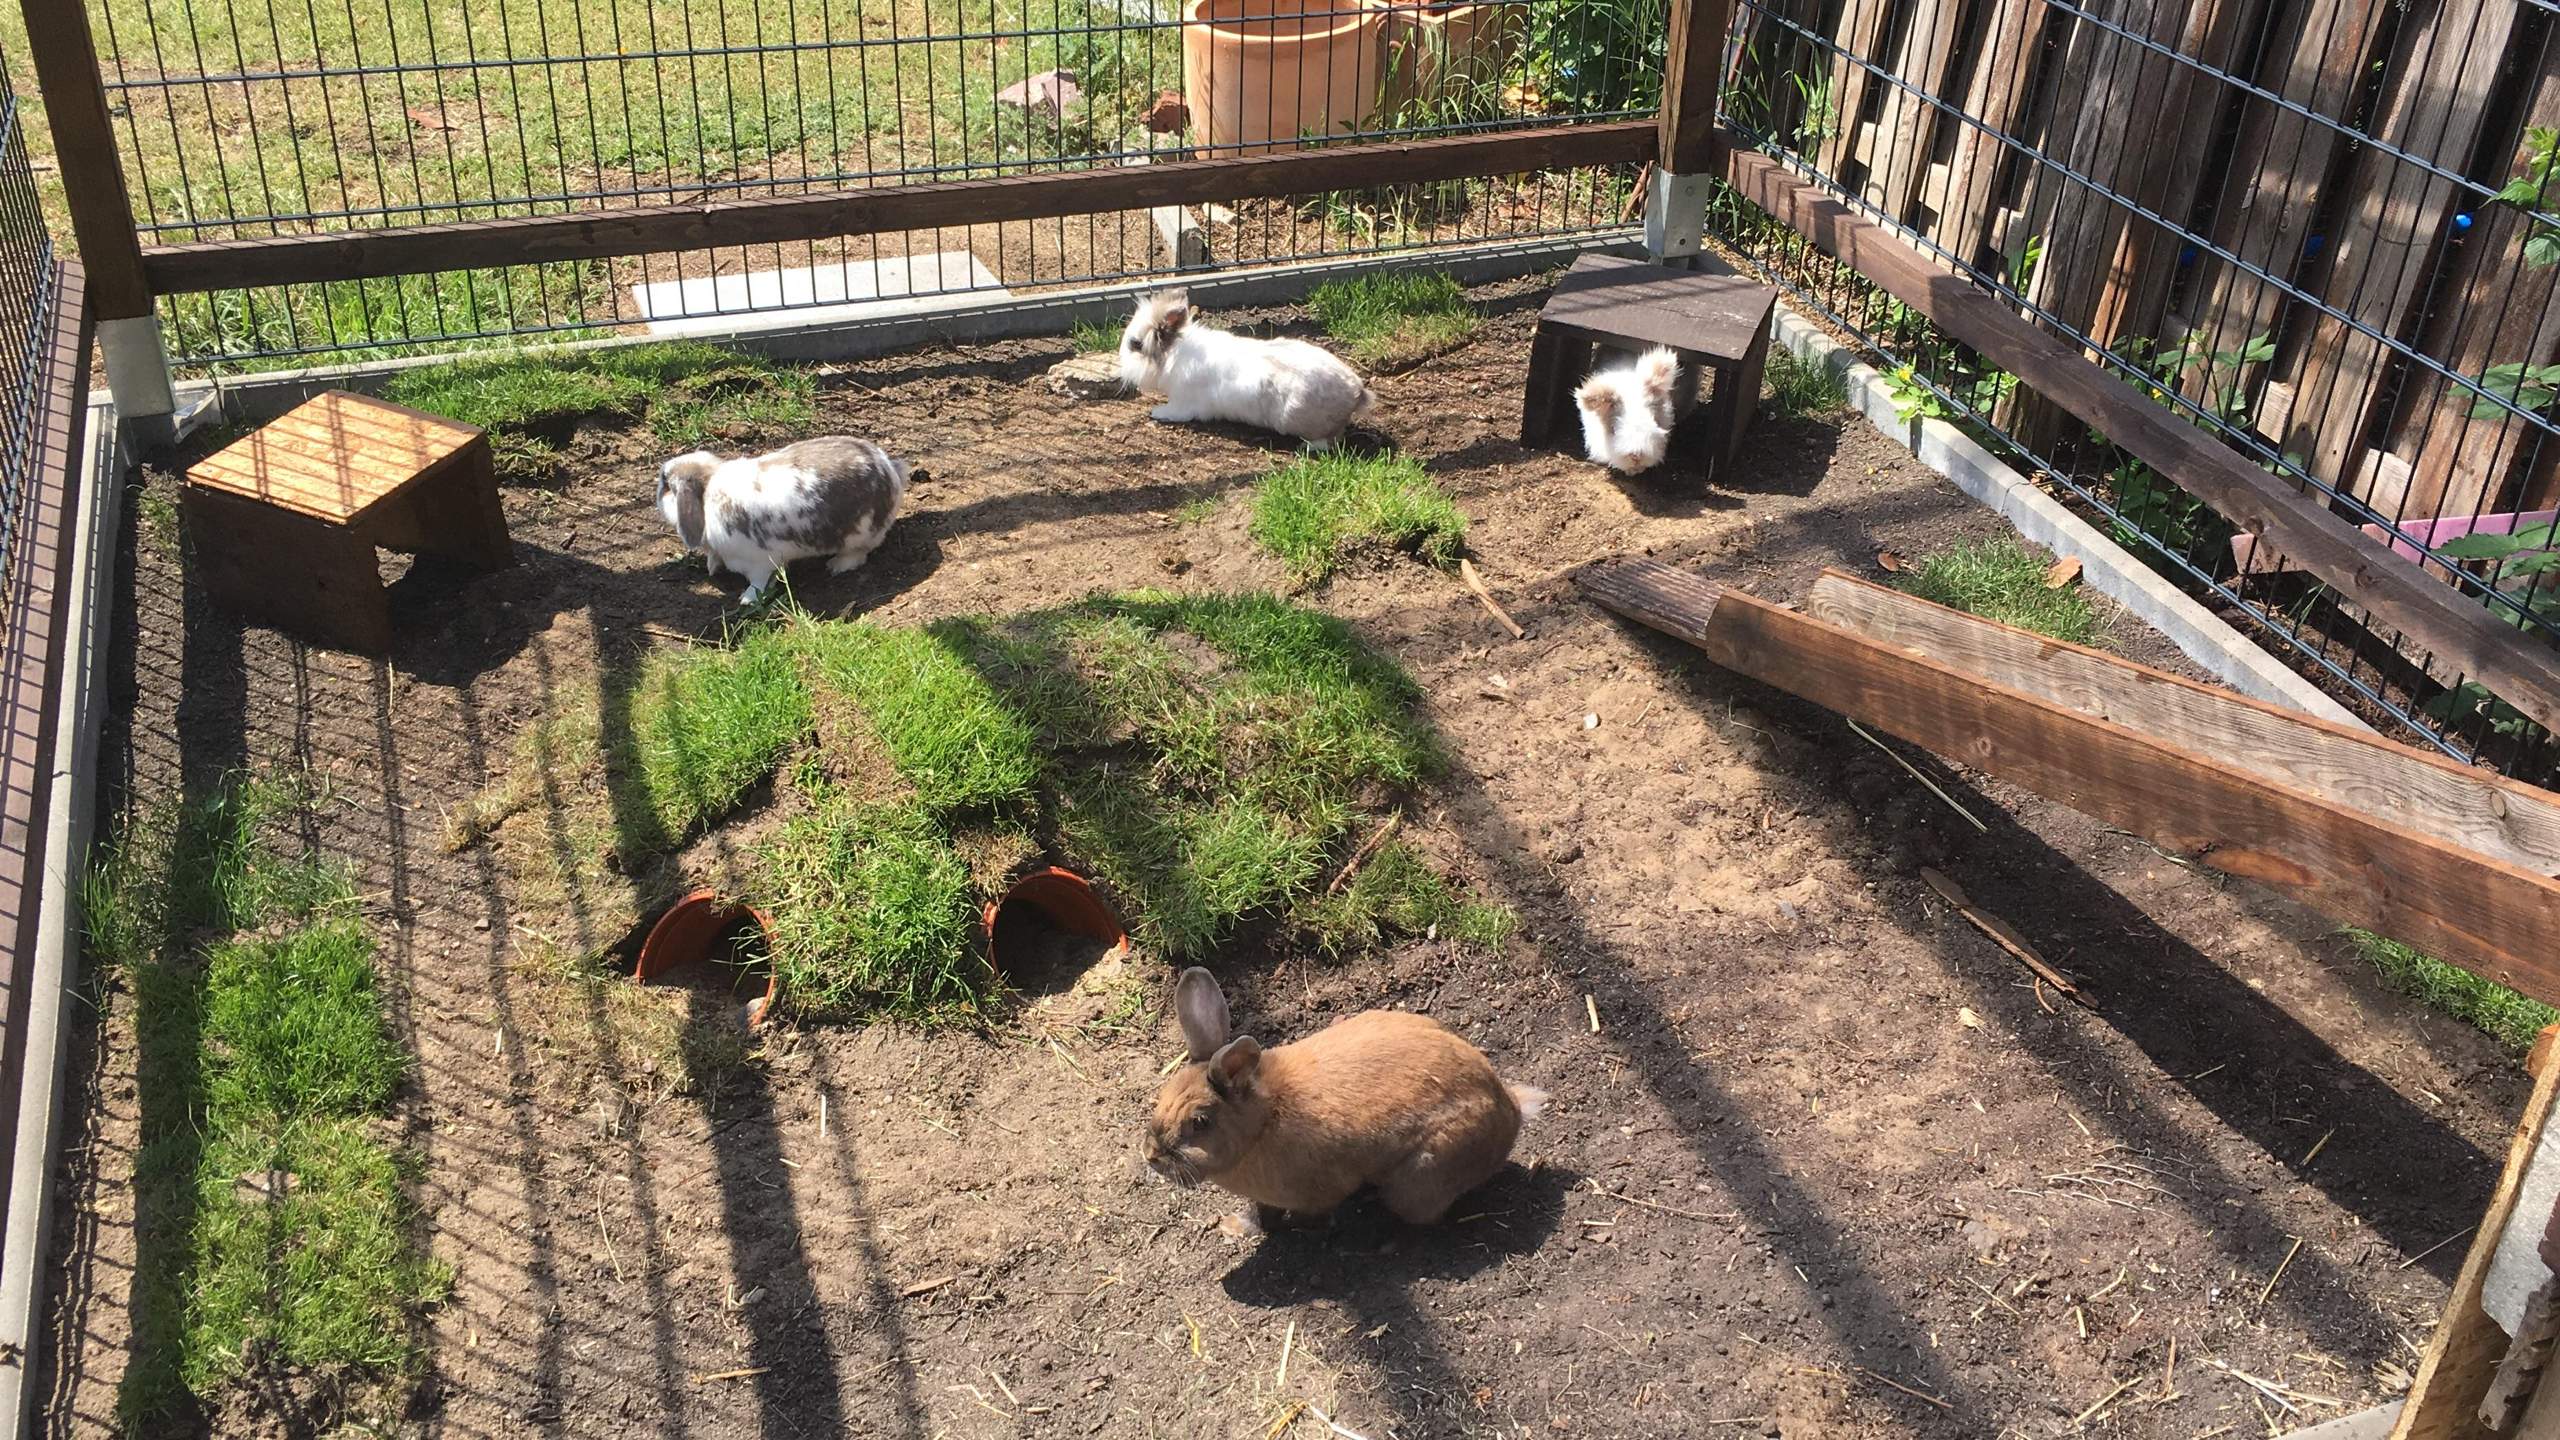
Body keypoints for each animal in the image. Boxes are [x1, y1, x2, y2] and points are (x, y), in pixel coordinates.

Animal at [656, 436, 918, 604]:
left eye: (666, 484)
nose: (657, 493)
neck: (707, 491)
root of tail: (890, 469)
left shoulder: (758, 563)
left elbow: (759, 583)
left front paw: (747, 600)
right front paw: (712, 567)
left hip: (861, 533)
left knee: (860, 553)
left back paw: (837, 565)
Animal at [1118, 289, 1375, 449]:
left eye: (1135, 345)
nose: (1120, 361)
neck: (1172, 354)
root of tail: (1356, 392)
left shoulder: (1183, 404)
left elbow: (1174, 412)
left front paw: (1156, 412)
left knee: (1329, 442)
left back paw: (1307, 447)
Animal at [1143, 966, 1546, 1227]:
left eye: (1200, 1122)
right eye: (1161, 1097)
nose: (1151, 1155)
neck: (1261, 1123)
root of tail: (1509, 1109)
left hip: (1420, 1176)